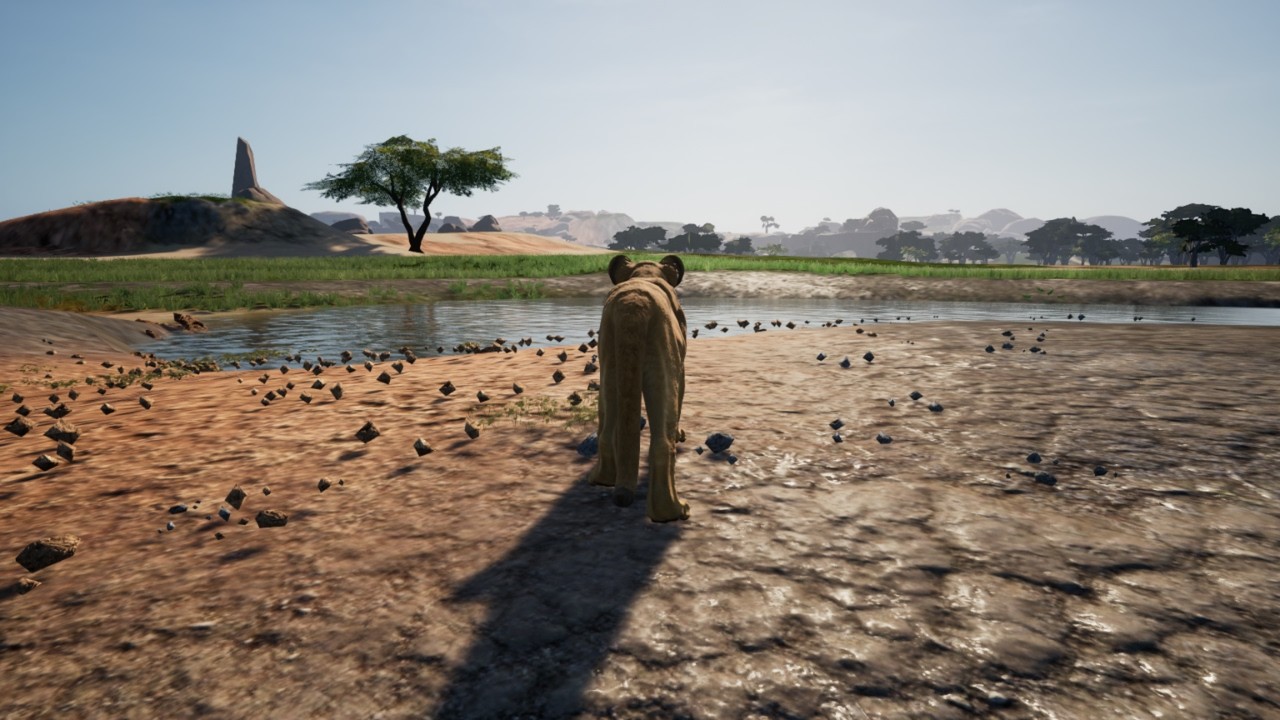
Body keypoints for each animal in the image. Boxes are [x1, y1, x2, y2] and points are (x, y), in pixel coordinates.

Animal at [587, 254, 690, 522]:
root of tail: (633, 306)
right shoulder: (680, 362)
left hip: (610, 360)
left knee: (606, 424)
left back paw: (602, 480)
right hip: (663, 357)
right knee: (663, 441)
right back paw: (673, 512)